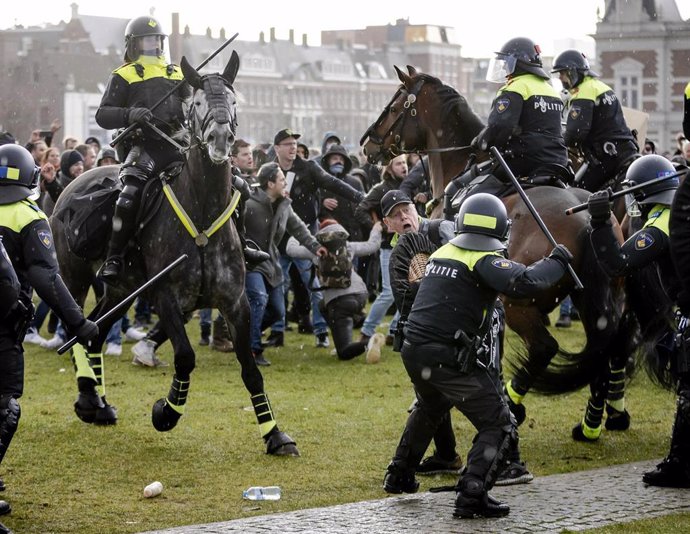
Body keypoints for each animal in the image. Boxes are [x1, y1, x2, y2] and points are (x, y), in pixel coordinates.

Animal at [48, 52, 296, 456]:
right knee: (78, 329)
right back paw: (87, 399)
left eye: (233, 100)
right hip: (74, 278)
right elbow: (185, 357)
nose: (220, 140)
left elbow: (250, 369)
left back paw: (99, 405)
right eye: (196, 103)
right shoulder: (164, 297)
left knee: (94, 335)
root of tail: (71, 188)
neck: (202, 210)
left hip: (119, 290)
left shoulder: (235, 302)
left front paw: (274, 434)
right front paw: (166, 412)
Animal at [360, 67, 636, 436]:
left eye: (393, 106)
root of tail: (585, 217)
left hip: (520, 303)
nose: (367, 143)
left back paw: (515, 403)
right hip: (601, 300)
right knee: (608, 349)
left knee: (546, 348)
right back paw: (598, 421)